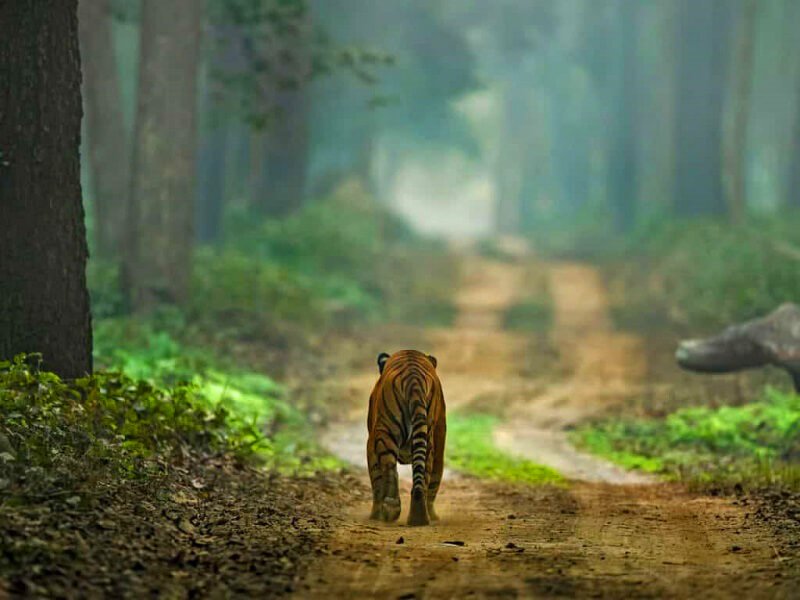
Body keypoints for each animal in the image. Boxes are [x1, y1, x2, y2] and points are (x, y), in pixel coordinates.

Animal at [367, 349, 446, 526]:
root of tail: (413, 376)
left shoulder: (370, 443)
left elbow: (376, 478)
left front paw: (375, 514)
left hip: (386, 433)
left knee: (389, 468)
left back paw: (391, 508)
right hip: (428, 441)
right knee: (423, 477)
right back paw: (419, 517)